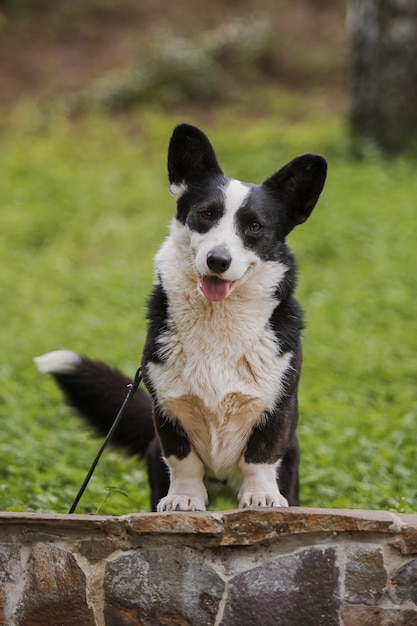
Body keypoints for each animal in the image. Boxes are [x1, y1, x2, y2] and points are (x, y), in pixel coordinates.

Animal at [34, 123, 324, 512]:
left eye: (255, 227)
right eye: (206, 214)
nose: (218, 260)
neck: (217, 318)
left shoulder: (276, 408)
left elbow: (259, 457)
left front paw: (261, 496)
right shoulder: (169, 411)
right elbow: (184, 462)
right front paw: (183, 499)